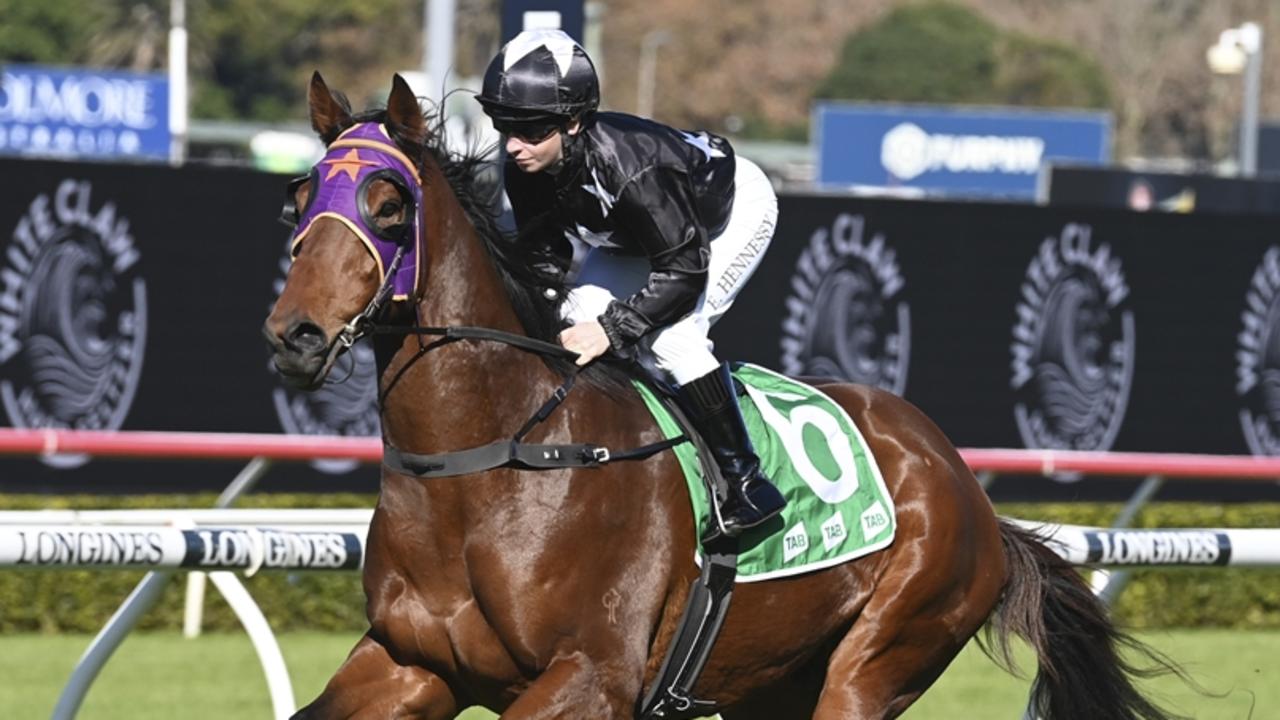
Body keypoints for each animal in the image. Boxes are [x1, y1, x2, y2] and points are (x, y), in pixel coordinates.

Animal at [264, 73, 1182, 717]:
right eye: (299, 199)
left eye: (389, 205)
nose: (294, 334)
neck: (491, 459)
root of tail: (963, 484)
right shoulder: (411, 664)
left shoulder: (590, 679)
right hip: (772, 682)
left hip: (879, 660)